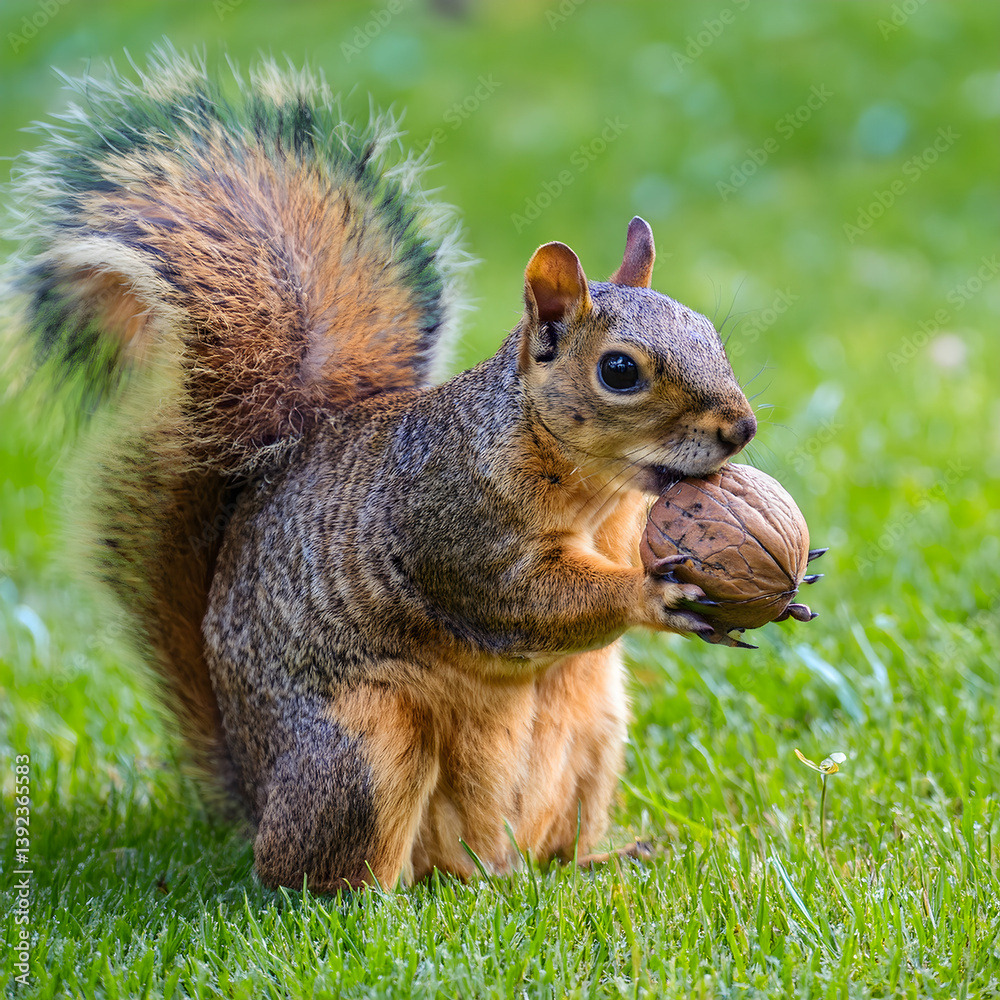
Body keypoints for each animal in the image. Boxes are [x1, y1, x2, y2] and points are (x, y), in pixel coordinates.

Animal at [8, 50, 756, 892]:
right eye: (620, 371)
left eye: (709, 333)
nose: (742, 428)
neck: (596, 491)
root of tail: (255, 794)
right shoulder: (452, 526)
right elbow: (526, 603)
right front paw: (652, 595)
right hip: (364, 753)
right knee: (313, 878)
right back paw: (385, 900)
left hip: (596, 727)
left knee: (542, 850)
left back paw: (594, 862)